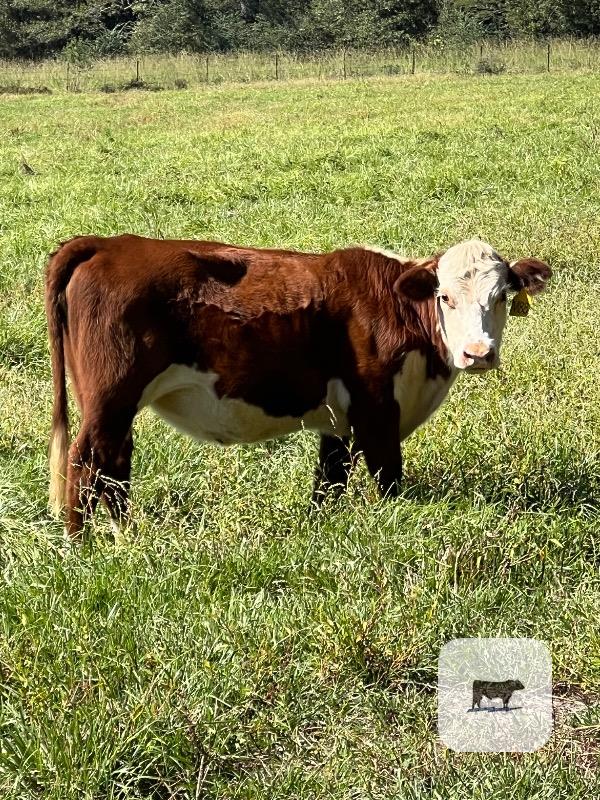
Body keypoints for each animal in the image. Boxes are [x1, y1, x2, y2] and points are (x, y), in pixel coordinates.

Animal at [45, 235, 550, 537]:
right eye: (444, 296)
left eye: (500, 297)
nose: (478, 353)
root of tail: (108, 243)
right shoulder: (376, 411)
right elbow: (388, 478)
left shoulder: (337, 421)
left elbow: (329, 481)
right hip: (110, 398)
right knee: (84, 463)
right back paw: (81, 543)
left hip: (116, 408)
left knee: (113, 466)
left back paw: (126, 537)